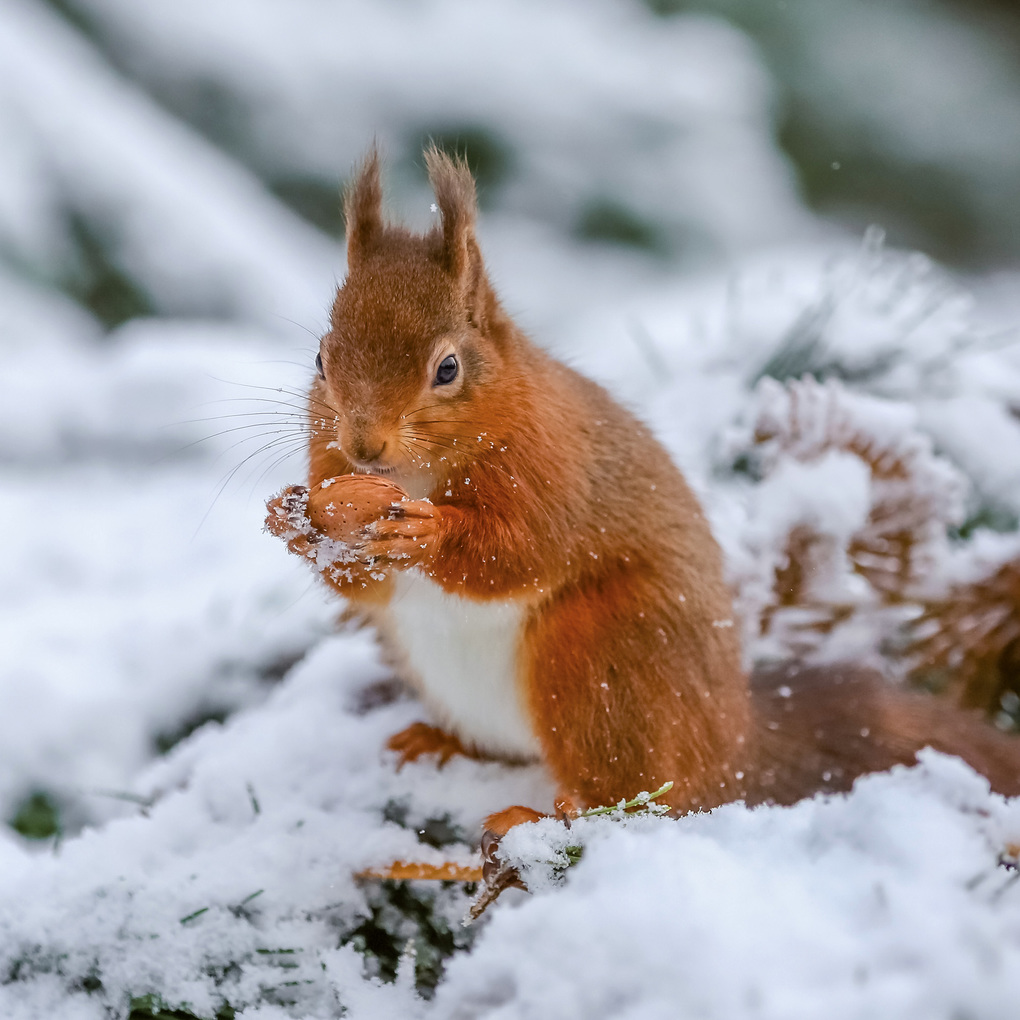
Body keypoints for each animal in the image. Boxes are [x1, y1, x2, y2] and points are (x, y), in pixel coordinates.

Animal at [265, 146, 1020, 850]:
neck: (419, 471)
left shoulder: (552, 467)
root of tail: (732, 743)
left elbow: (522, 551)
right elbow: (363, 587)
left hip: (606, 656)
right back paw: (437, 742)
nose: (364, 446)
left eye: (447, 369)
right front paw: (293, 520)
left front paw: (430, 533)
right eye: (321, 360)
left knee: (636, 797)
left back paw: (540, 816)